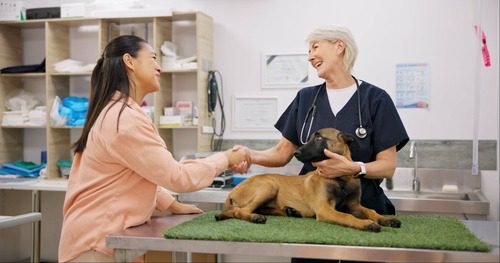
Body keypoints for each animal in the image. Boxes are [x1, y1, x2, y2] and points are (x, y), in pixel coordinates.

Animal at [213, 128, 400, 233]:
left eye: (318, 138)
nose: (296, 152)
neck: (340, 179)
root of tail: (231, 192)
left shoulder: (354, 205)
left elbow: (371, 211)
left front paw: (386, 219)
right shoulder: (325, 209)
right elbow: (347, 216)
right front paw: (367, 224)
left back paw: (291, 211)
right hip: (269, 185)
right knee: (240, 211)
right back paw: (255, 217)